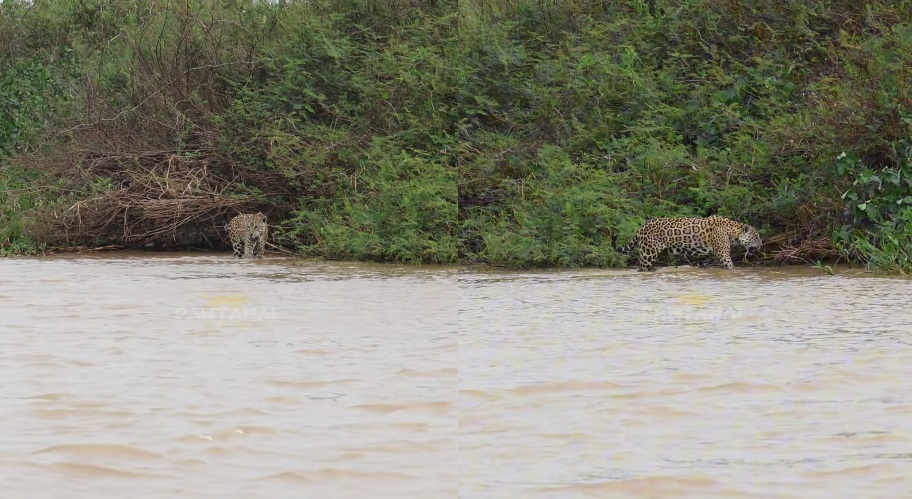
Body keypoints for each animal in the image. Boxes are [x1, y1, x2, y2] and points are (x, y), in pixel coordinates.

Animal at [616, 215, 762, 271]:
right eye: (756, 237)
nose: (761, 246)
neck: (732, 230)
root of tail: (641, 227)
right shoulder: (723, 254)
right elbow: (730, 265)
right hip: (649, 252)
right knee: (642, 266)